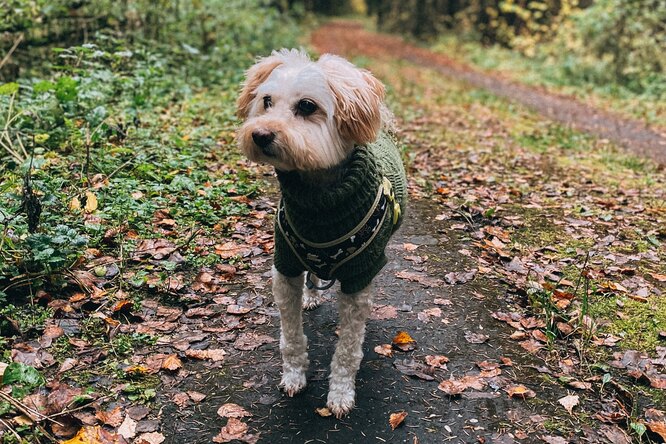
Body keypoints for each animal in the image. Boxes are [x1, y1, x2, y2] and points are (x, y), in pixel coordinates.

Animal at [236, 50, 408, 418]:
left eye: (307, 106)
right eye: (266, 101)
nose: (259, 134)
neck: (320, 203)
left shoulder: (359, 278)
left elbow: (348, 349)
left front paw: (340, 393)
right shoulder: (285, 265)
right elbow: (290, 336)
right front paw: (294, 375)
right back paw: (313, 294)